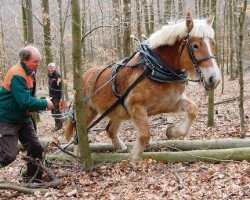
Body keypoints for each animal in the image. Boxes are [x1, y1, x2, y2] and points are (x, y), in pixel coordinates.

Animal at [65, 12, 222, 161]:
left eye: (213, 43)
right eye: (195, 46)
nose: (214, 79)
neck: (155, 68)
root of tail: (84, 75)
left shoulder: (171, 102)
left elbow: (193, 109)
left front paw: (172, 131)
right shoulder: (136, 106)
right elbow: (145, 134)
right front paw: (135, 159)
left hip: (117, 111)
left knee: (110, 130)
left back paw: (121, 148)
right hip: (87, 111)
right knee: (79, 132)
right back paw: (79, 154)